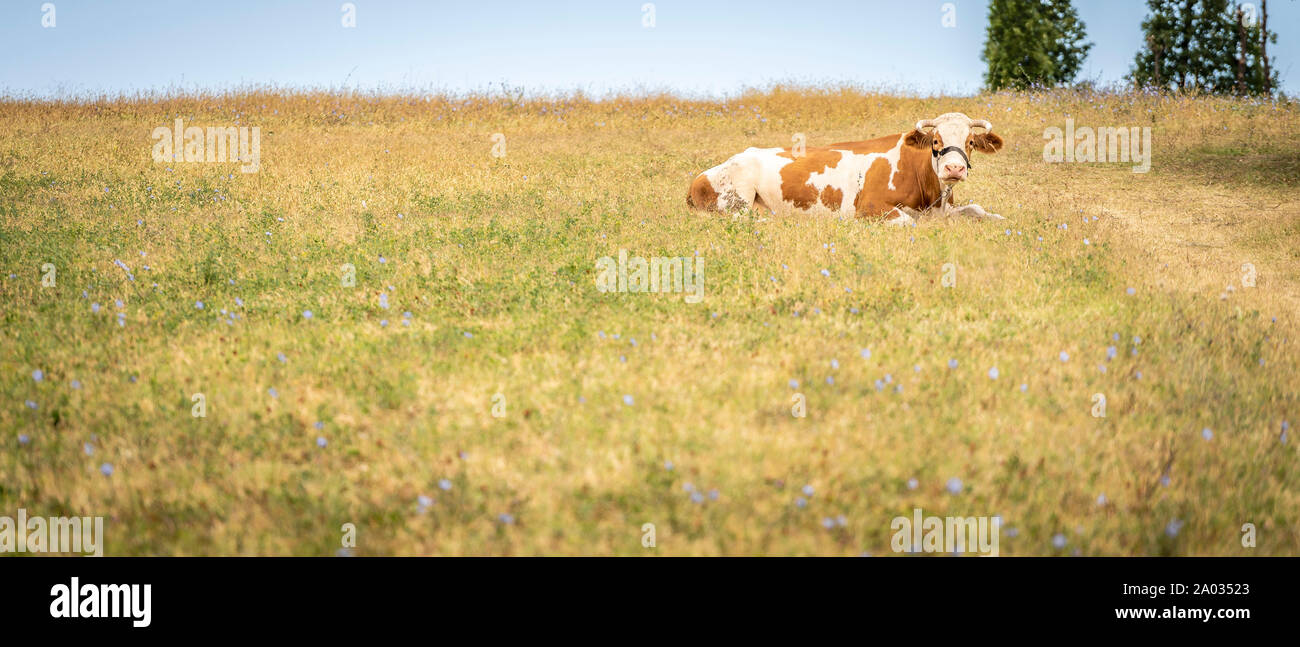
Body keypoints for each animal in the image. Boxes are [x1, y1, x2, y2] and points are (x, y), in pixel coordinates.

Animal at [691, 114, 1003, 226]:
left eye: (970, 142)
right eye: (936, 141)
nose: (954, 167)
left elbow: (979, 210)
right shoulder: (870, 207)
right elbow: (908, 222)